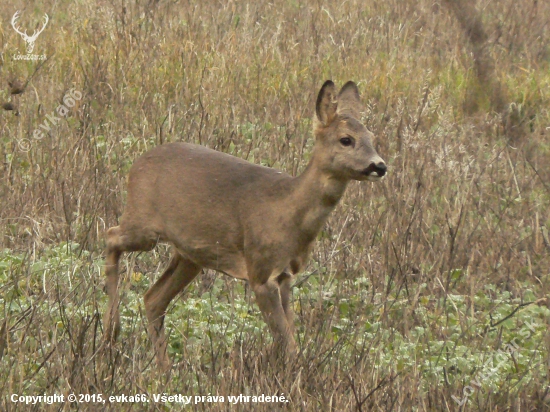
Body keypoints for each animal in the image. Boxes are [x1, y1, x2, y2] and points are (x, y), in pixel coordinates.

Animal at [104, 79, 388, 366]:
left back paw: (163, 368)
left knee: (153, 299)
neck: (288, 212)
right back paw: (110, 333)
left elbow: (291, 340)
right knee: (111, 235)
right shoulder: (260, 270)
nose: (379, 166)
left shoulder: (286, 275)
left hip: (190, 255)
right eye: (346, 139)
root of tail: (136, 165)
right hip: (143, 223)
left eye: (373, 138)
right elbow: (287, 343)